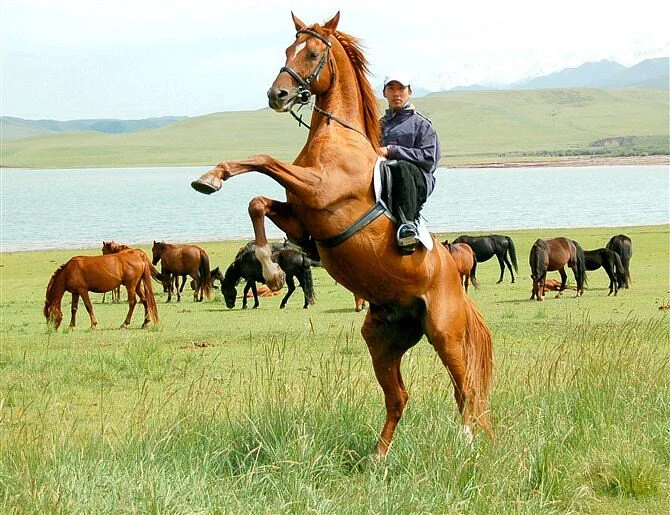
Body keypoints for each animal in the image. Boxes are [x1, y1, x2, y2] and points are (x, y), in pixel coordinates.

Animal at [190, 12, 493, 457]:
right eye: (287, 49)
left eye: (313, 53)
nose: (277, 94)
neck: (337, 137)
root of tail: (454, 278)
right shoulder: (300, 217)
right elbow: (258, 202)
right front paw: (266, 261)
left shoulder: (318, 190)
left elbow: (264, 159)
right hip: (382, 338)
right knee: (398, 397)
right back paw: (378, 457)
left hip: (444, 333)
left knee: (465, 389)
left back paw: (465, 445)